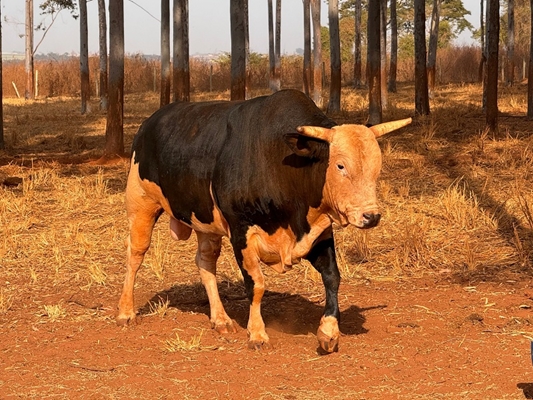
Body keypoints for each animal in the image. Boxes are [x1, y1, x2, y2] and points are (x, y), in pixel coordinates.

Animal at [117, 89, 412, 352]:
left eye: (377, 166)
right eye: (340, 166)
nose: (371, 216)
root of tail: (150, 122)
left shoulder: (319, 231)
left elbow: (332, 277)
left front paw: (329, 331)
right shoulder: (241, 232)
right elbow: (256, 285)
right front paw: (257, 333)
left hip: (205, 222)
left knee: (205, 261)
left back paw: (220, 318)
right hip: (141, 204)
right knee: (135, 254)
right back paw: (126, 311)